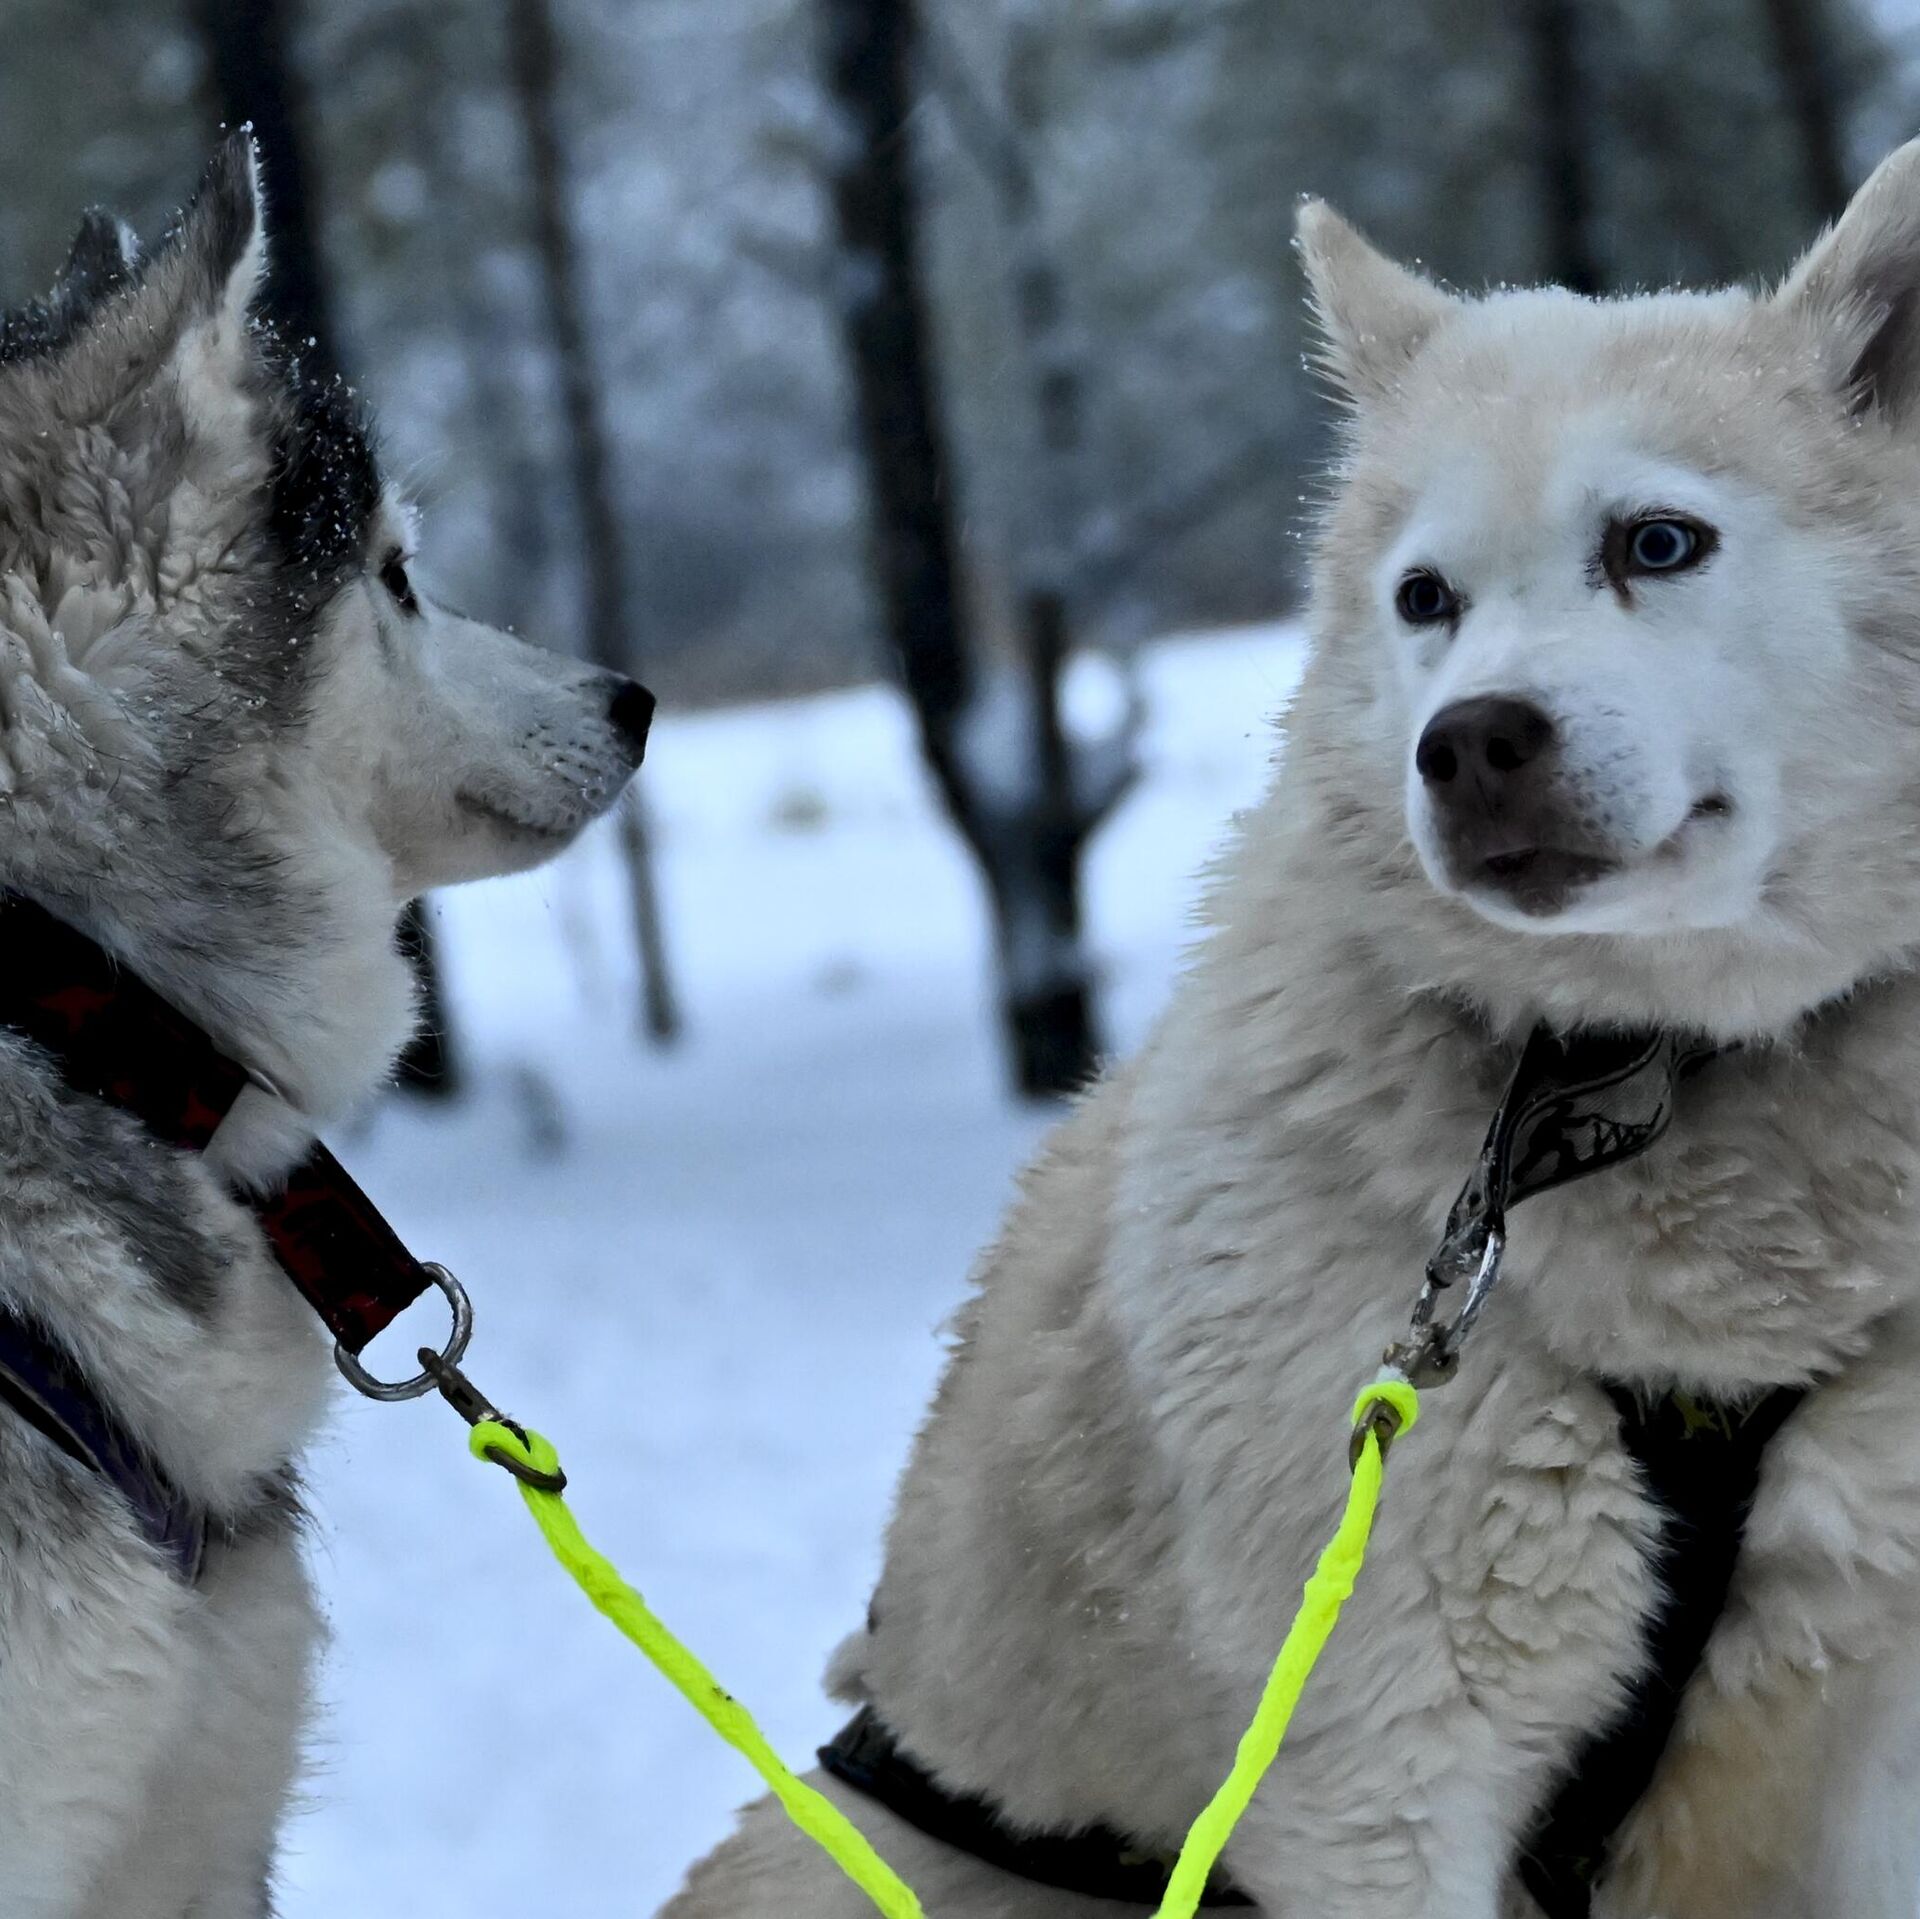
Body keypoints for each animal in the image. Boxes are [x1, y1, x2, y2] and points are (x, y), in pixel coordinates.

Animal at [667, 139, 1920, 1918]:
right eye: (1425, 597)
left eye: (1660, 541)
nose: (1470, 744)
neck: (1620, 1074)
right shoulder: (1376, 1767)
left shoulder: (1843, 1738)